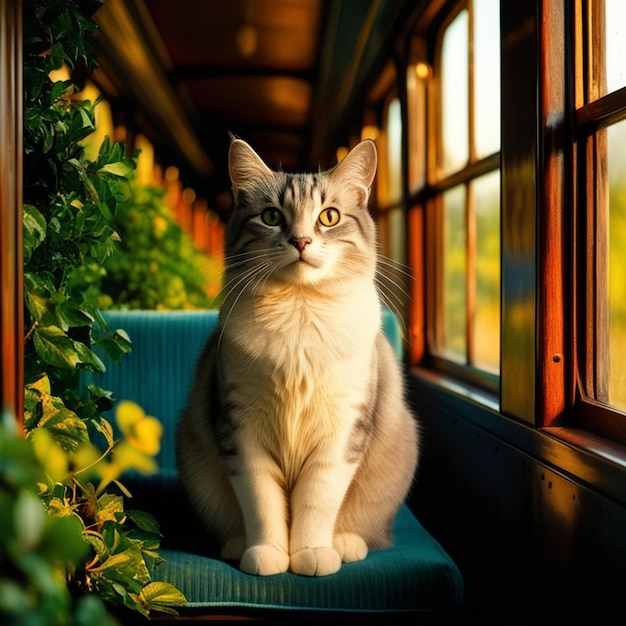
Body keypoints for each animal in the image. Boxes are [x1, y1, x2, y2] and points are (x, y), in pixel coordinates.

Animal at [176, 138, 420, 576]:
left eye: (329, 217)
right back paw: (236, 545)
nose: (301, 241)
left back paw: (345, 544)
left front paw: (310, 553)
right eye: (272, 216)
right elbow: (262, 502)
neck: (300, 309)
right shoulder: (242, 431)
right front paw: (268, 553)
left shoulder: (342, 432)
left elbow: (316, 501)